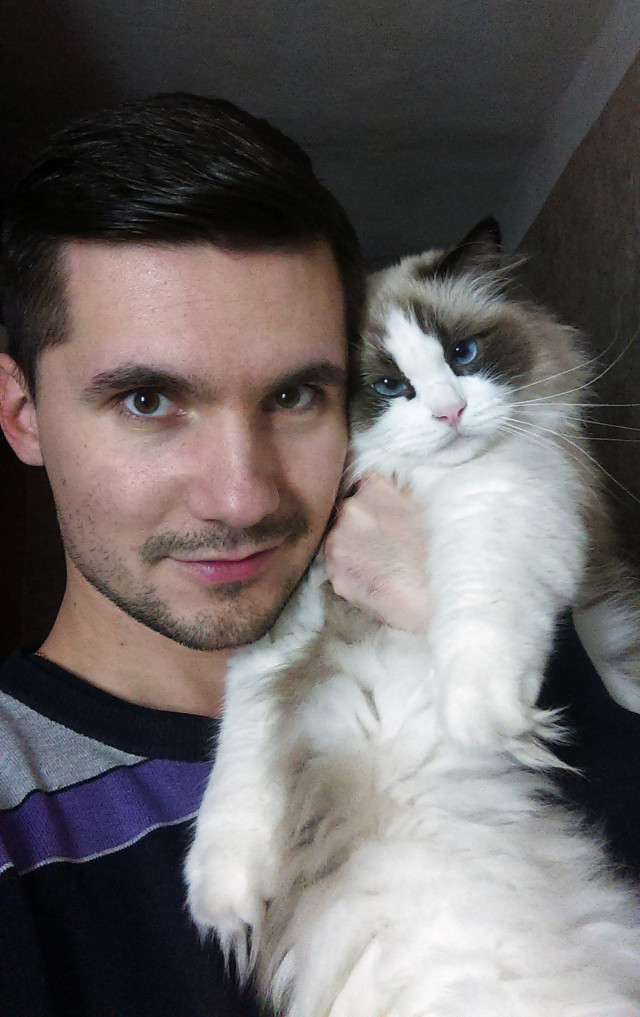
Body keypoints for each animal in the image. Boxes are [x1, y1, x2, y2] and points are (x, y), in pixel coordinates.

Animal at [185, 218, 640, 1017]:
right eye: (390, 385)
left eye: (463, 354)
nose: (449, 412)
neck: (421, 486)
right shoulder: (281, 629)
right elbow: (237, 758)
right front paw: (222, 908)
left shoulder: (506, 495)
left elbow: (481, 608)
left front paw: (487, 718)